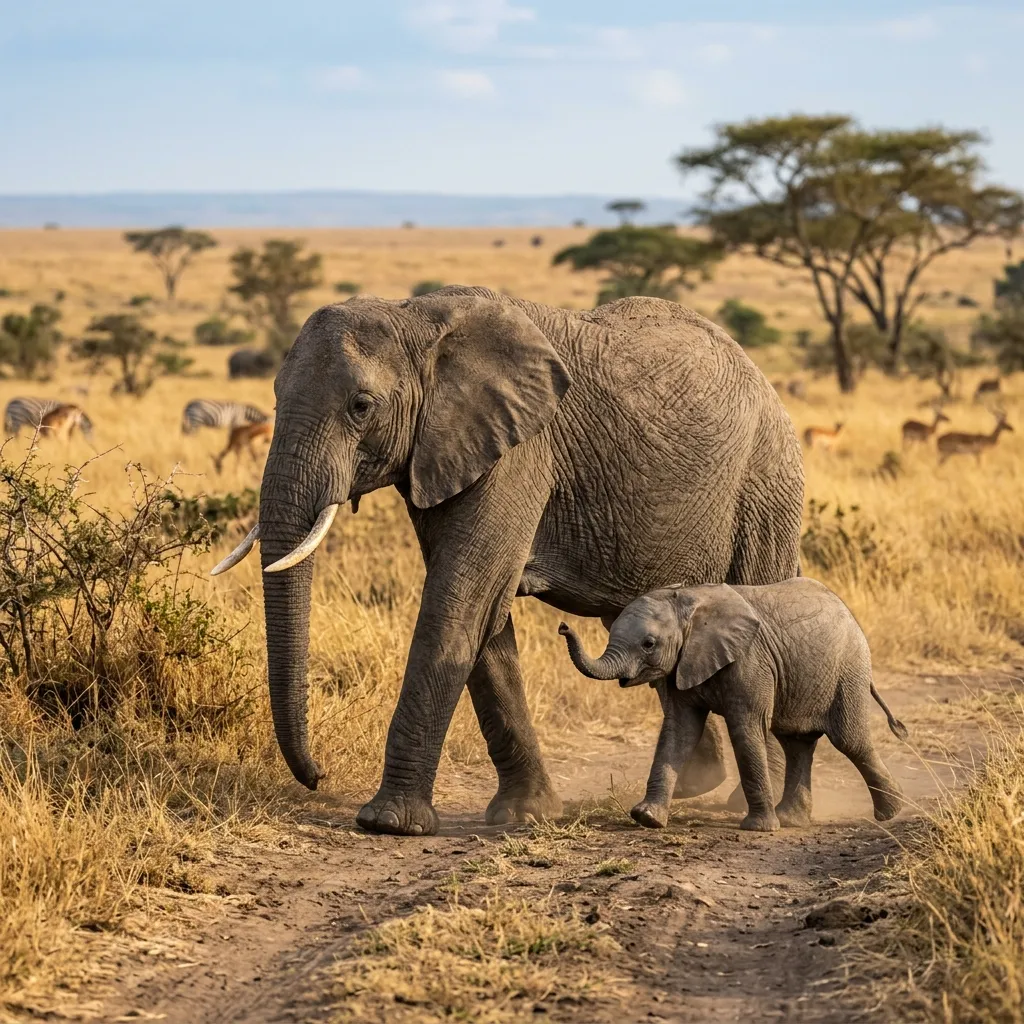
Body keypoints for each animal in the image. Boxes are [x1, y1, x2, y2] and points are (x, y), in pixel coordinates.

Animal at [211, 286, 804, 836]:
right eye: (274, 398)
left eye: (362, 405)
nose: (318, 776)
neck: (417, 317)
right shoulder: (447, 450)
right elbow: (485, 619)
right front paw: (526, 813)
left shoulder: (518, 453)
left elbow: (461, 602)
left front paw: (388, 823)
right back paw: (696, 785)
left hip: (766, 483)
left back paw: (752, 802)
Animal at [559, 578, 908, 832]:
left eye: (649, 644)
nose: (563, 626)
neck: (687, 601)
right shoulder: (684, 663)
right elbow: (678, 732)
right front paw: (647, 818)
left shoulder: (750, 660)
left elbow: (745, 729)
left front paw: (758, 829)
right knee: (797, 744)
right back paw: (792, 820)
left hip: (847, 671)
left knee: (850, 741)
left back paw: (892, 812)